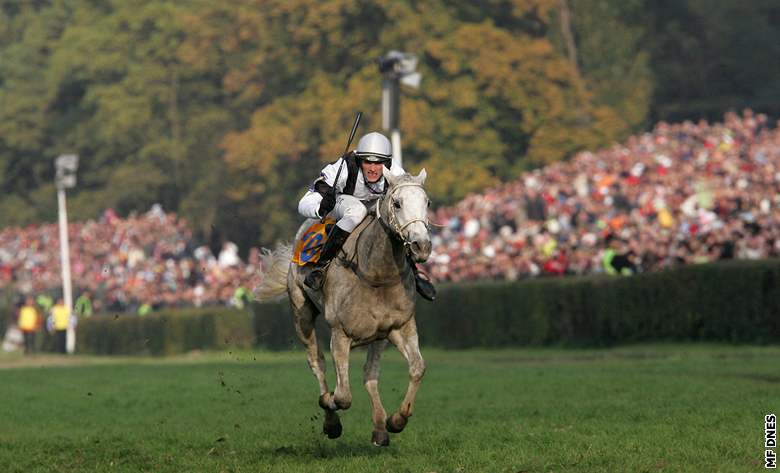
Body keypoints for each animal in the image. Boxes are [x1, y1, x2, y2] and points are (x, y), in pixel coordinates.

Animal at [258, 167, 436, 446]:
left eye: (427, 203)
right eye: (397, 203)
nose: (422, 246)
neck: (375, 273)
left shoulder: (400, 327)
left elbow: (417, 368)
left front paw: (396, 420)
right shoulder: (340, 334)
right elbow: (341, 397)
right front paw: (330, 411)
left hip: (379, 337)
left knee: (370, 374)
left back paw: (380, 428)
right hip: (301, 313)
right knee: (317, 363)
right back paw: (329, 414)